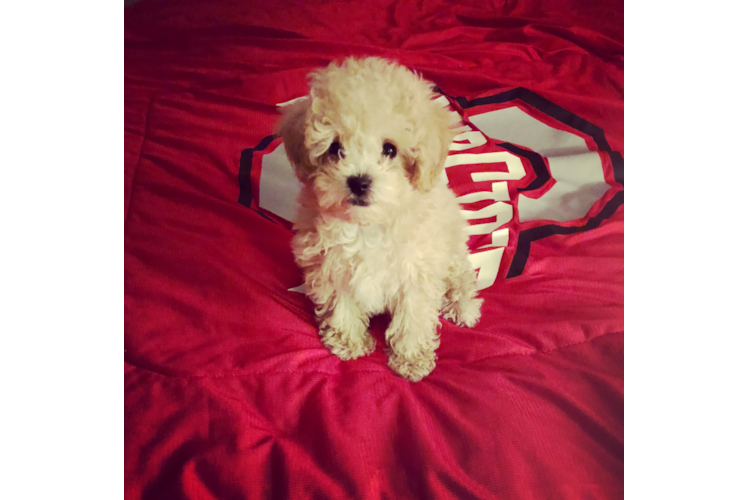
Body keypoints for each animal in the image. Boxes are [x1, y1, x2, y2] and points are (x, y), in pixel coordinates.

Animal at [278, 55, 482, 382]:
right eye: (335, 148)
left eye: (390, 149)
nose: (359, 182)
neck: (367, 225)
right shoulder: (330, 265)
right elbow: (341, 303)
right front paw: (348, 341)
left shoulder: (417, 270)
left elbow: (414, 317)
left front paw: (411, 359)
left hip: (449, 246)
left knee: (460, 274)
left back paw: (463, 306)